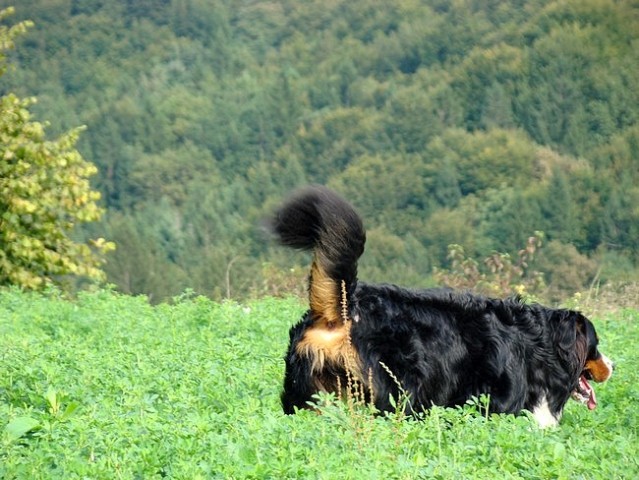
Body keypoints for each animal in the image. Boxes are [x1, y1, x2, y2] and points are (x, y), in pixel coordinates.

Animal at [268, 186, 612, 426]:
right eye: (595, 347)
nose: (614, 365)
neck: (537, 345)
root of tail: (343, 305)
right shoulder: (500, 401)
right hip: (396, 390)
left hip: (307, 387)